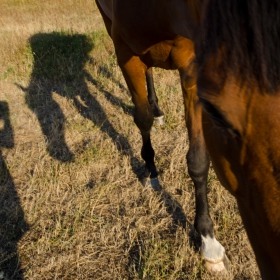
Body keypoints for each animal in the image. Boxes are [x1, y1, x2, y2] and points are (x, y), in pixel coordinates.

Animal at [95, 0, 280, 278]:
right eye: (216, 113)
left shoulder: (192, 70)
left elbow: (198, 161)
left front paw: (208, 241)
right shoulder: (126, 55)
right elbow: (142, 119)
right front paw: (151, 171)